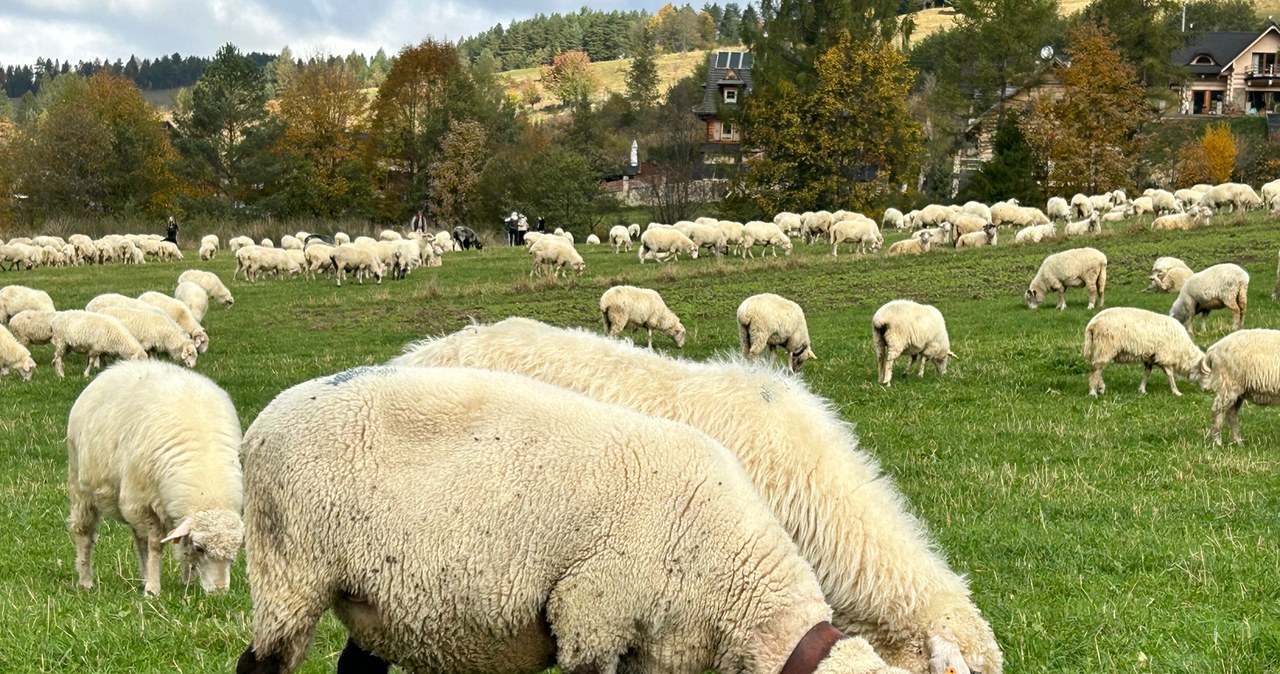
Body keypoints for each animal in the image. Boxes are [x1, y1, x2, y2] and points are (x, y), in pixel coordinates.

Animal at [66, 360, 241, 593]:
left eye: (235, 552)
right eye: (200, 548)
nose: (220, 591)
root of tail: (122, 365)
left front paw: (186, 582)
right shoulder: (141, 503)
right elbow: (155, 545)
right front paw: (153, 588)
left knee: (139, 539)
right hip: (82, 485)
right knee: (85, 533)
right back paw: (86, 580)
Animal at [232, 365, 911, 674]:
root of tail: (264, 420)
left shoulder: (650, 650)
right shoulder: (592, 613)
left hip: (369, 594)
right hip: (289, 572)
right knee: (260, 665)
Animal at [1080, 305, 1208, 396]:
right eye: (1206, 374)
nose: (1208, 390)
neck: (1183, 351)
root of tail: (1092, 323)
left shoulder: (1151, 357)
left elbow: (1147, 373)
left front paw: (1142, 390)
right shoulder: (1164, 355)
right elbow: (1170, 374)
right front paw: (1176, 391)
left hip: (1102, 348)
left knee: (1097, 367)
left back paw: (1101, 387)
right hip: (1106, 345)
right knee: (1096, 368)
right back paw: (1093, 392)